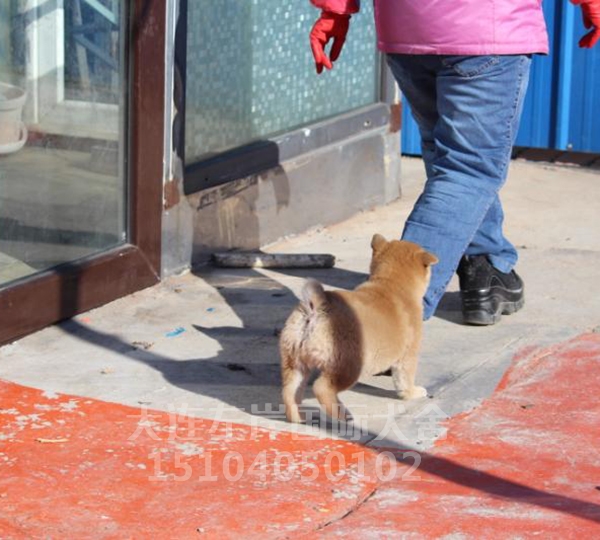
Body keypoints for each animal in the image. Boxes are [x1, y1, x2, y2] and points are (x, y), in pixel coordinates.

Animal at [278, 234, 438, 424]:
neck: (390, 284)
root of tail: (316, 307)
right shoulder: (408, 356)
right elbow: (405, 379)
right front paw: (412, 393)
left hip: (295, 363)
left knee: (290, 391)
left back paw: (297, 417)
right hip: (348, 366)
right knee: (322, 388)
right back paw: (342, 415)